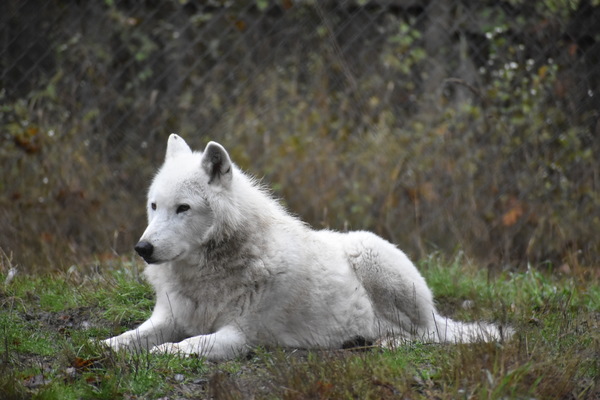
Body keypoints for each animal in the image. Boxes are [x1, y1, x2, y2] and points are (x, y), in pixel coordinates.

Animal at [102, 134, 511, 360]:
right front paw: (103, 348)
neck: (208, 276)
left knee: (424, 336)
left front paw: (162, 353)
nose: (142, 248)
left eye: (183, 208)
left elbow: (187, 345)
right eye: (154, 206)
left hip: (372, 256)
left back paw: (388, 344)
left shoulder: (240, 337)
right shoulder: (167, 319)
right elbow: (125, 339)